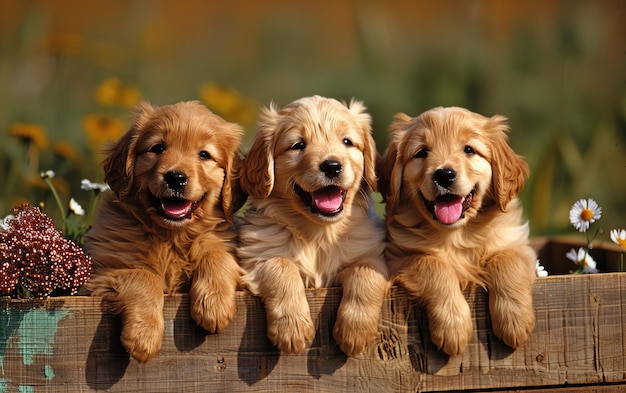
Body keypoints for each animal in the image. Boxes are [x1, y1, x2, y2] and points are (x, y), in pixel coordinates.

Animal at [80, 100, 241, 362]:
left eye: (204, 154)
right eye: (157, 148)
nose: (175, 177)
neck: (171, 238)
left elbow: (217, 254)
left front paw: (213, 305)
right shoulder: (99, 274)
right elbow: (143, 277)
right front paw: (143, 336)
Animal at [235, 95, 388, 356]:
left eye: (347, 142)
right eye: (298, 145)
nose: (332, 166)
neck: (319, 235)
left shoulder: (375, 256)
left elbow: (365, 272)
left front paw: (355, 331)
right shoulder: (257, 258)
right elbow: (281, 266)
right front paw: (292, 328)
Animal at [378, 106, 532, 356]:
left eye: (469, 150)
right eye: (421, 152)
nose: (444, 174)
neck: (457, 235)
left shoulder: (518, 246)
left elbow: (506, 259)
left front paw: (514, 320)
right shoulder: (399, 257)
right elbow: (434, 265)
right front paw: (453, 326)